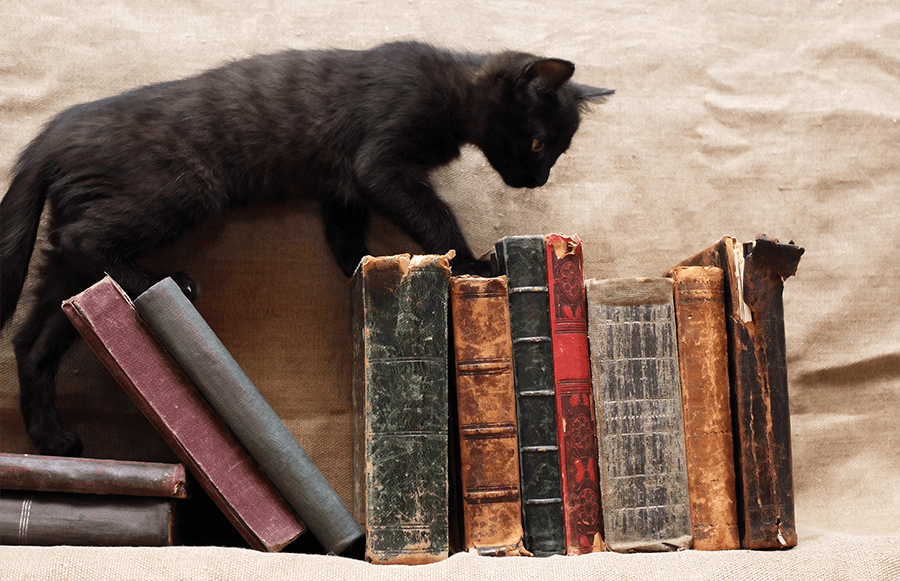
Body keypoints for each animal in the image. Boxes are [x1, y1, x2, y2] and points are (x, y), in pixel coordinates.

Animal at [0, 42, 612, 458]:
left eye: (556, 150)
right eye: (537, 142)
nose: (538, 180)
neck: (455, 85)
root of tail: (53, 131)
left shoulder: (343, 186)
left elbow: (344, 232)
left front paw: (357, 266)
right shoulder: (379, 161)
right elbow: (433, 216)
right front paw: (470, 262)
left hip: (71, 263)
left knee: (33, 339)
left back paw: (51, 436)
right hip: (186, 187)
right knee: (85, 238)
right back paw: (162, 280)